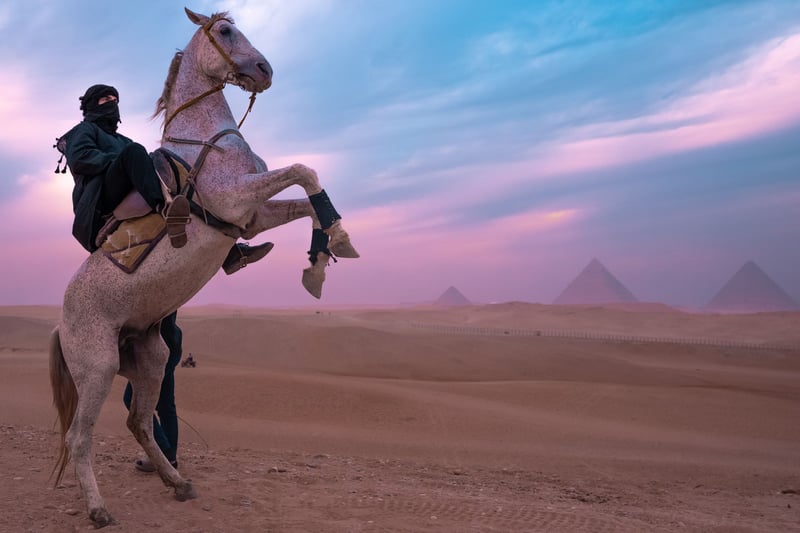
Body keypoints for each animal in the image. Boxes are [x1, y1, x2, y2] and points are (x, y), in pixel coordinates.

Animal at [49, 8, 358, 528]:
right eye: (226, 31)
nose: (264, 71)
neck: (202, 140)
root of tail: (61, 323)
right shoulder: (236, 199)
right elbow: (305, 171)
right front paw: (338, 242)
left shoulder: (251, 217)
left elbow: (310, 202)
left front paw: (320, 263)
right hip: (98, 366)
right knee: (80, 436)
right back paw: (98, 508)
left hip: (150, 359)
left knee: (139, 421)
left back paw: (178, 483)